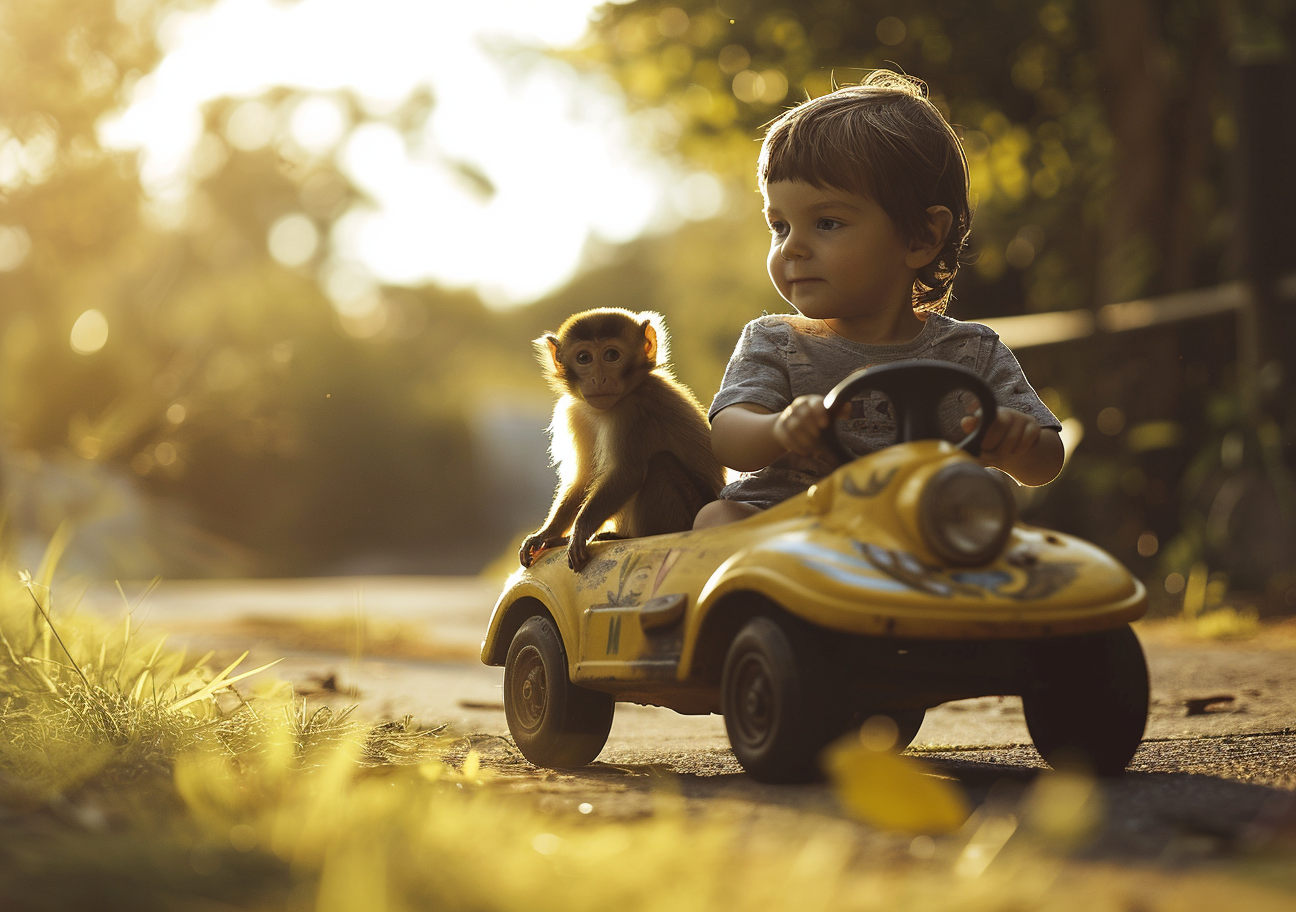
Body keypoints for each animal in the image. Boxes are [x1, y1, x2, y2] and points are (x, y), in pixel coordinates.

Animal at [518, 309, 725, 572]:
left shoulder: (632, 411)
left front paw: (580, 531)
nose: (598, 379)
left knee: (661, 464)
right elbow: (583, 478)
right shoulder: (575, 413)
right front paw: (546, 534)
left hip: (690, 514)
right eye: (584, 358)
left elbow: (628, 474)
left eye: (611, 355)